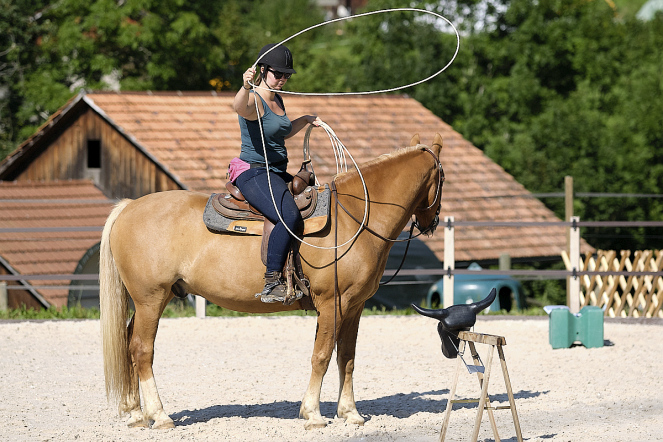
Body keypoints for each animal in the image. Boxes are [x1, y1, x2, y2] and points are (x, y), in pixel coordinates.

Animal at [101, 134, 444, 428]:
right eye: (442, 178)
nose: (432, 223)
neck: (354, 216)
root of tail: (129, 207)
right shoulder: (332, 304)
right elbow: (321, 356)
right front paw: (313, 414)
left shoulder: (354, 307)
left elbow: (346, 358)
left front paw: (351, 413)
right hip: (151, 299)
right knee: (142, 350)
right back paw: (159, 416)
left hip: (148, 301)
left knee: (129, 344)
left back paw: (136, 413)